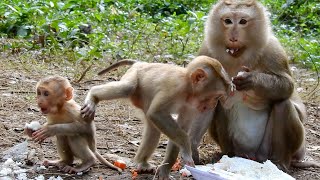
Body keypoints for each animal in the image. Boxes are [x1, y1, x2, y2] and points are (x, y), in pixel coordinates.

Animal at [80, 56, 232, 179]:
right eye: (216, 96)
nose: (213, 105)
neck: (188, 90)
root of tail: (141, 63)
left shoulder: (191, 107)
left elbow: (180, 128)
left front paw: (165, 168)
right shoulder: (175, 88)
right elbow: (156, 113)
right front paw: (186, 146)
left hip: (143, 99)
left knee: (153, 129)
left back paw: (142, 163)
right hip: (134, 75)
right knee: (127, 88)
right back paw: (93, 96)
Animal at [188, 0, 320, 172]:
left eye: (243, 21)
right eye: (228, 21)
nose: (233, 37)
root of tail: (250, 154)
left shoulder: (272, 48)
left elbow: (287, 86)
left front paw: (252, 80)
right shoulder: (206, 52)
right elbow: (204, 99)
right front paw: (191, 150)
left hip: (265, 151)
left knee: (283, 104)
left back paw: (280, 162)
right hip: (235, 145)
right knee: (216, 105)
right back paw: (229, 155)